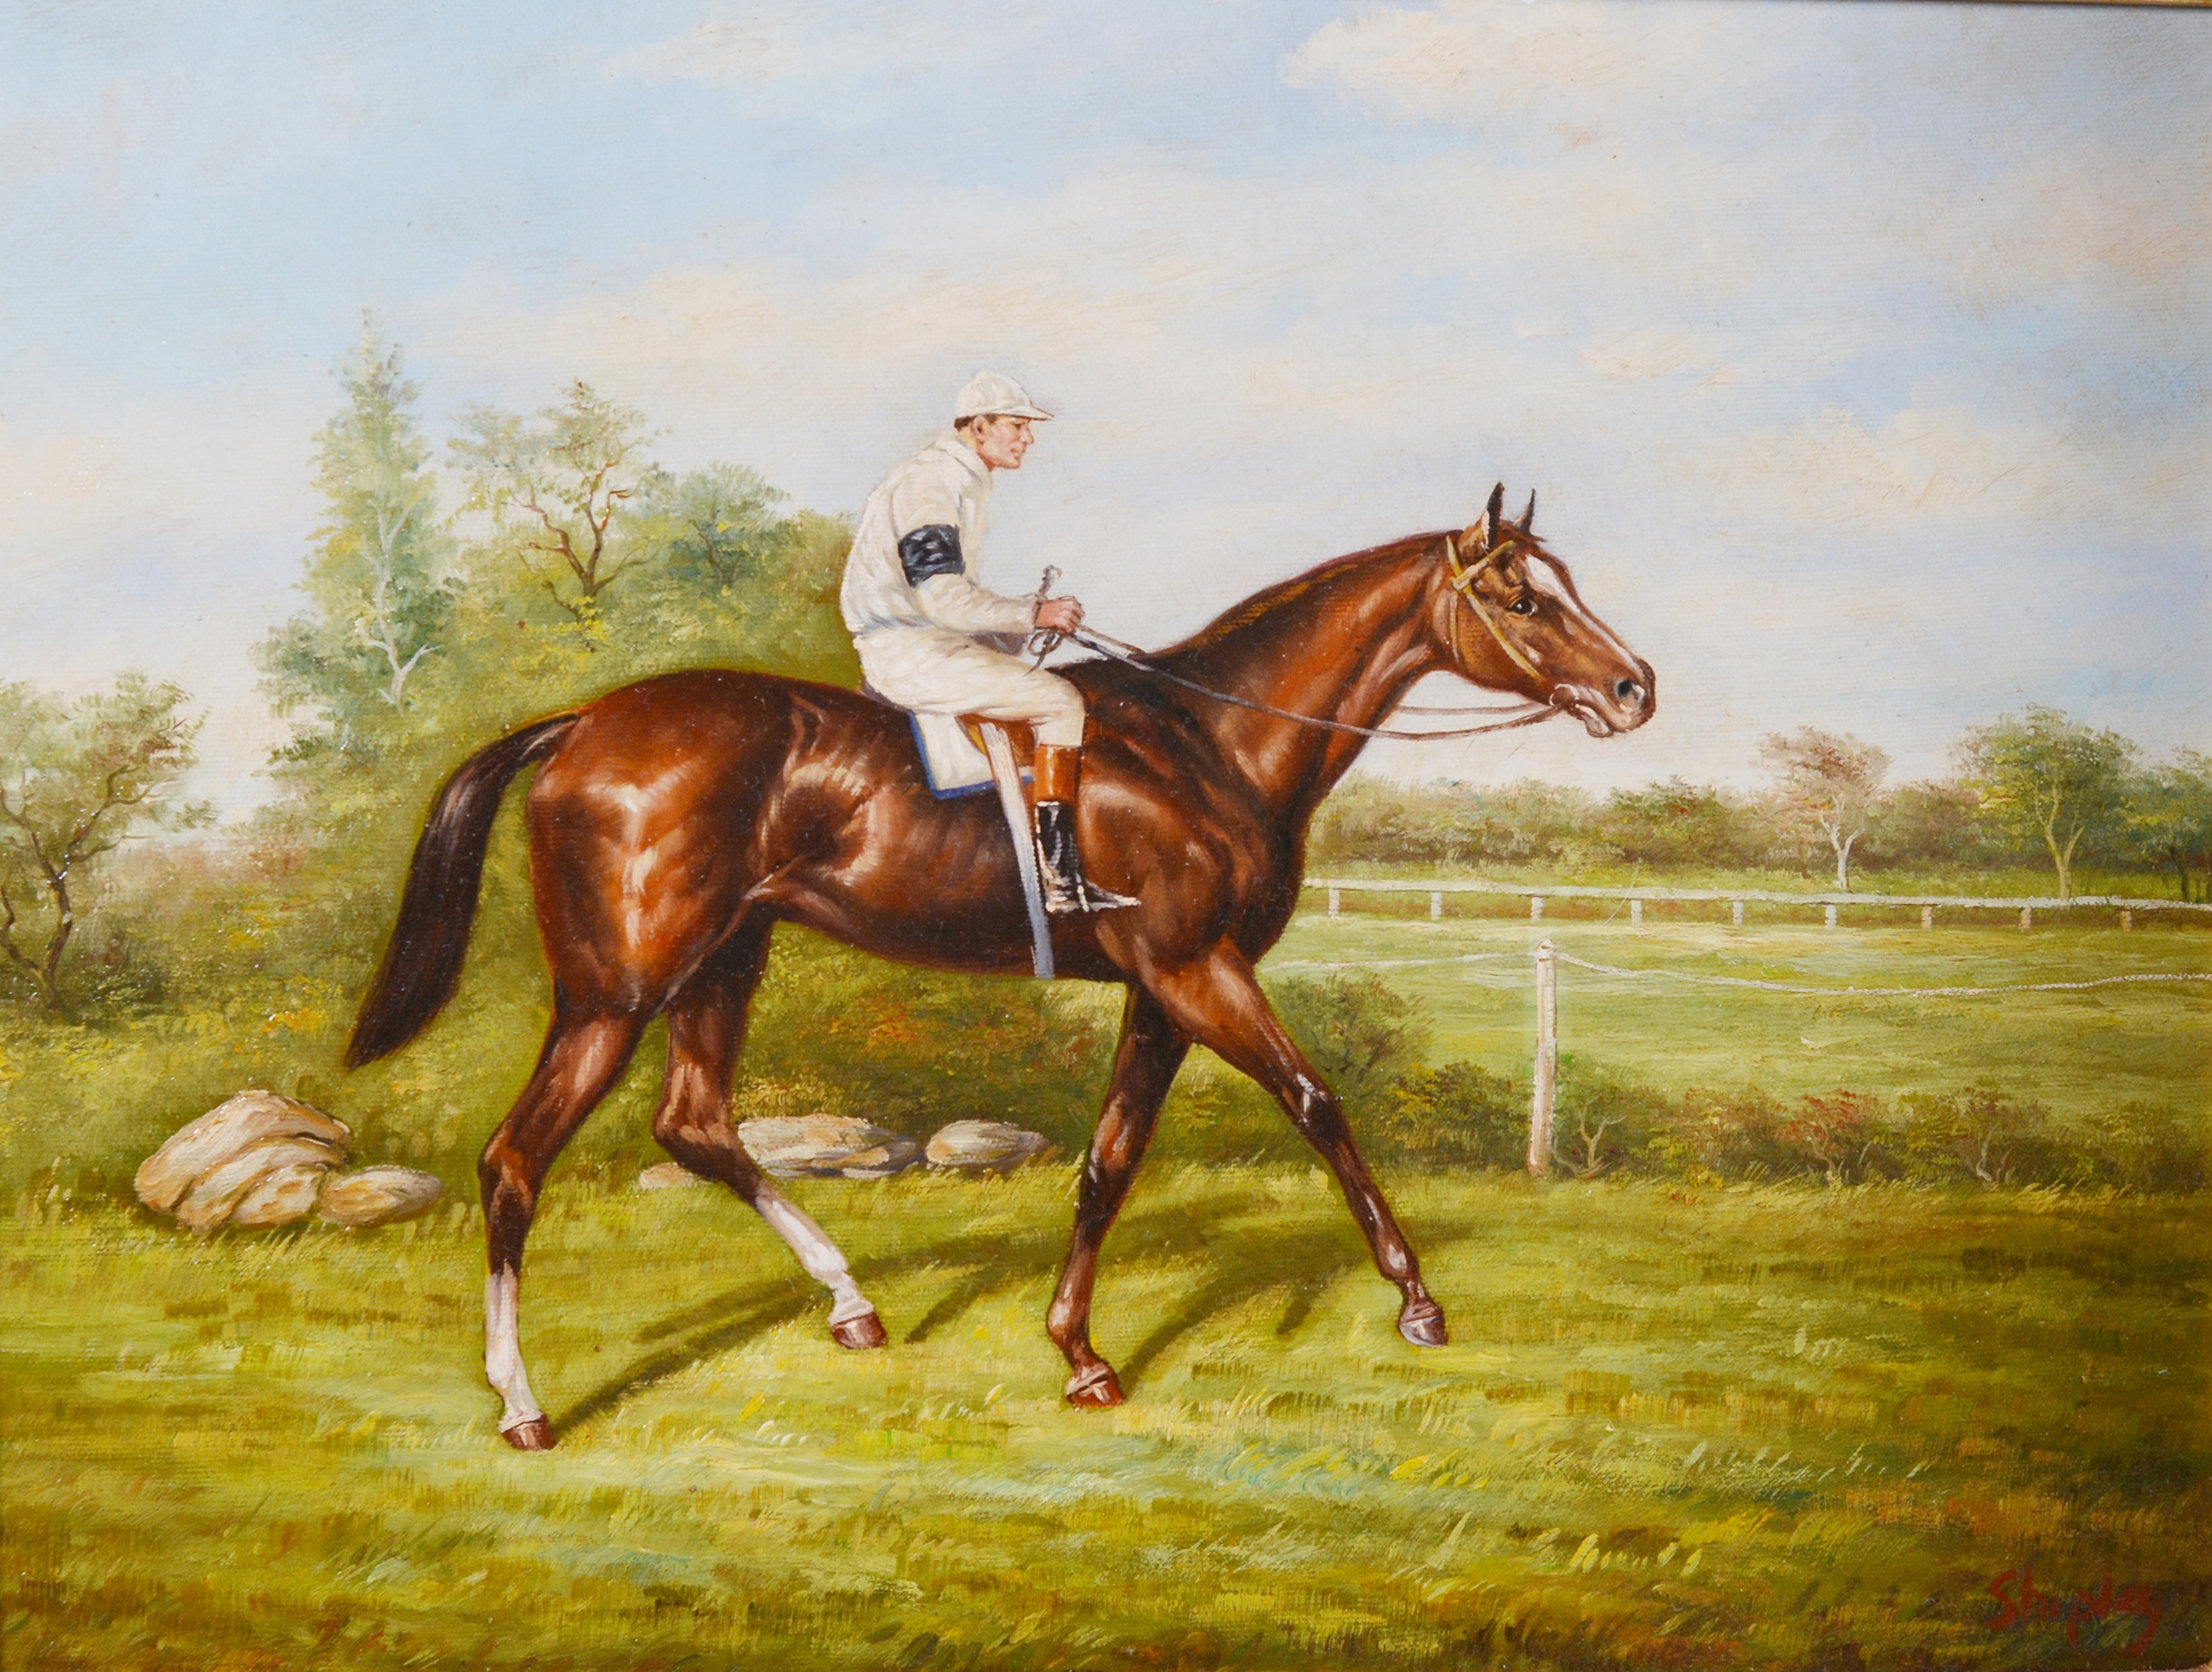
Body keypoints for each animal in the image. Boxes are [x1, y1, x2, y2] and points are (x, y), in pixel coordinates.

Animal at [346, 483, 1654, 1449]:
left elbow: (1109, 1162)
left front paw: (1078, 1353)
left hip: (721, 966)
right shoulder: (1196, 969)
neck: (1203, 741)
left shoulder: (1160, 993)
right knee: (515, 1161)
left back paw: (853, 1305)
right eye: (1522, 594)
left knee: (695, 1124)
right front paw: (1417, 1300)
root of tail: (580, 724)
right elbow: (1315, 1101)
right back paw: (522, 1403)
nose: (1634, 687)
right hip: (612, 994)